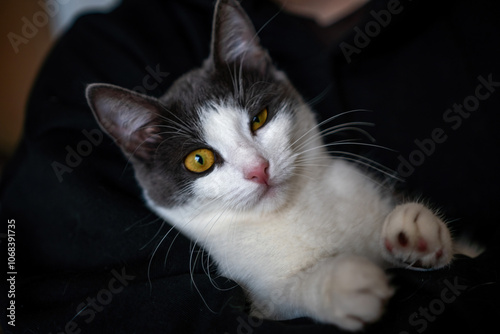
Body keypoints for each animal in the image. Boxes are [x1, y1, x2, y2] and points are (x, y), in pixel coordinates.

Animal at [85, 0, 454, 328]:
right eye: (199, 160)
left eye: (259, 118)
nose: (258, 169)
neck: (294, 212)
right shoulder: (257, 293)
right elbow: (285, 298)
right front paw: (338, 283)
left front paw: (415, 234)